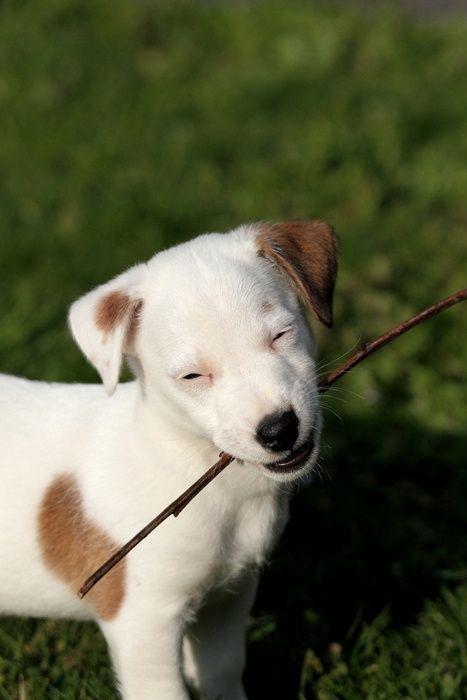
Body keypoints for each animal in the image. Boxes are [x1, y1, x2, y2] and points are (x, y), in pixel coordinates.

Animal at [0, 220, 336, 700]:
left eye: (281, 334)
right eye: (193, 376)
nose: (278, 430)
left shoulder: (227, 596)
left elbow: (222, 670)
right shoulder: (144, 622)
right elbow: (163, 690)